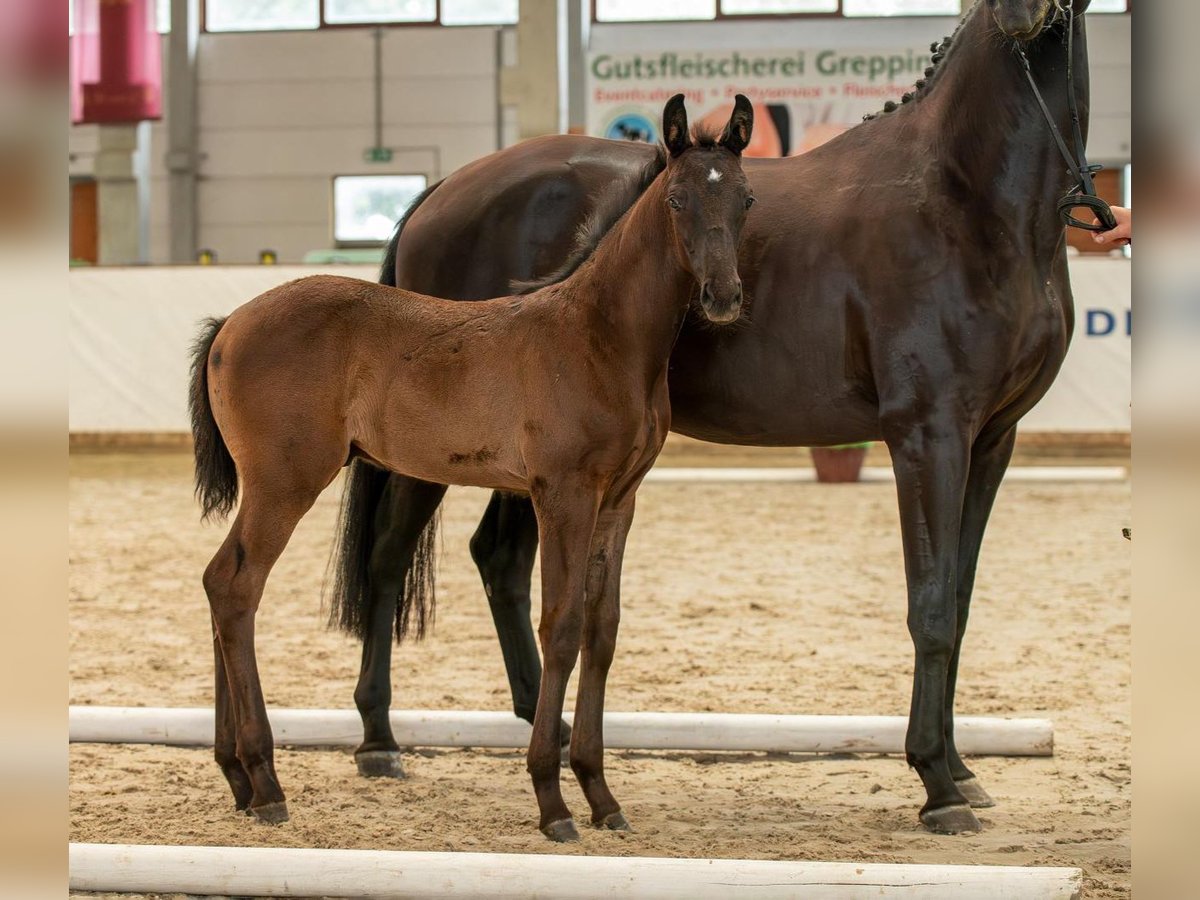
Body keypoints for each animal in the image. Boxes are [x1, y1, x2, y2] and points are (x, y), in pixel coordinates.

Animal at [186, 95, 748, 844]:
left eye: (745, 200)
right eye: (679, 198)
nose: (723, 296)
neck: (597, 334)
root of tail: (229, 325)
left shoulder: (619, 499)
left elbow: (601, 630)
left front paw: (601, 796)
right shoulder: (563, 494)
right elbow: (560, 625)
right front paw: (552, 801)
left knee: (223, 585)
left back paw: (239, 781)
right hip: (286, 482)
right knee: (236, 586)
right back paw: (268, 780)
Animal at [333, 0, 1099, 840]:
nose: (1024, 13)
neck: (963, 198)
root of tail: (440, 192)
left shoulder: (991, 439)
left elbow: (957, 602)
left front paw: (960, 768)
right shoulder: (928, 434)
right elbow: (930, 606)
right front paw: (935, 781)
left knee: (498, 561)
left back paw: (550, 730)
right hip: (433, 453)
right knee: (387, 560)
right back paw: (380, 740)